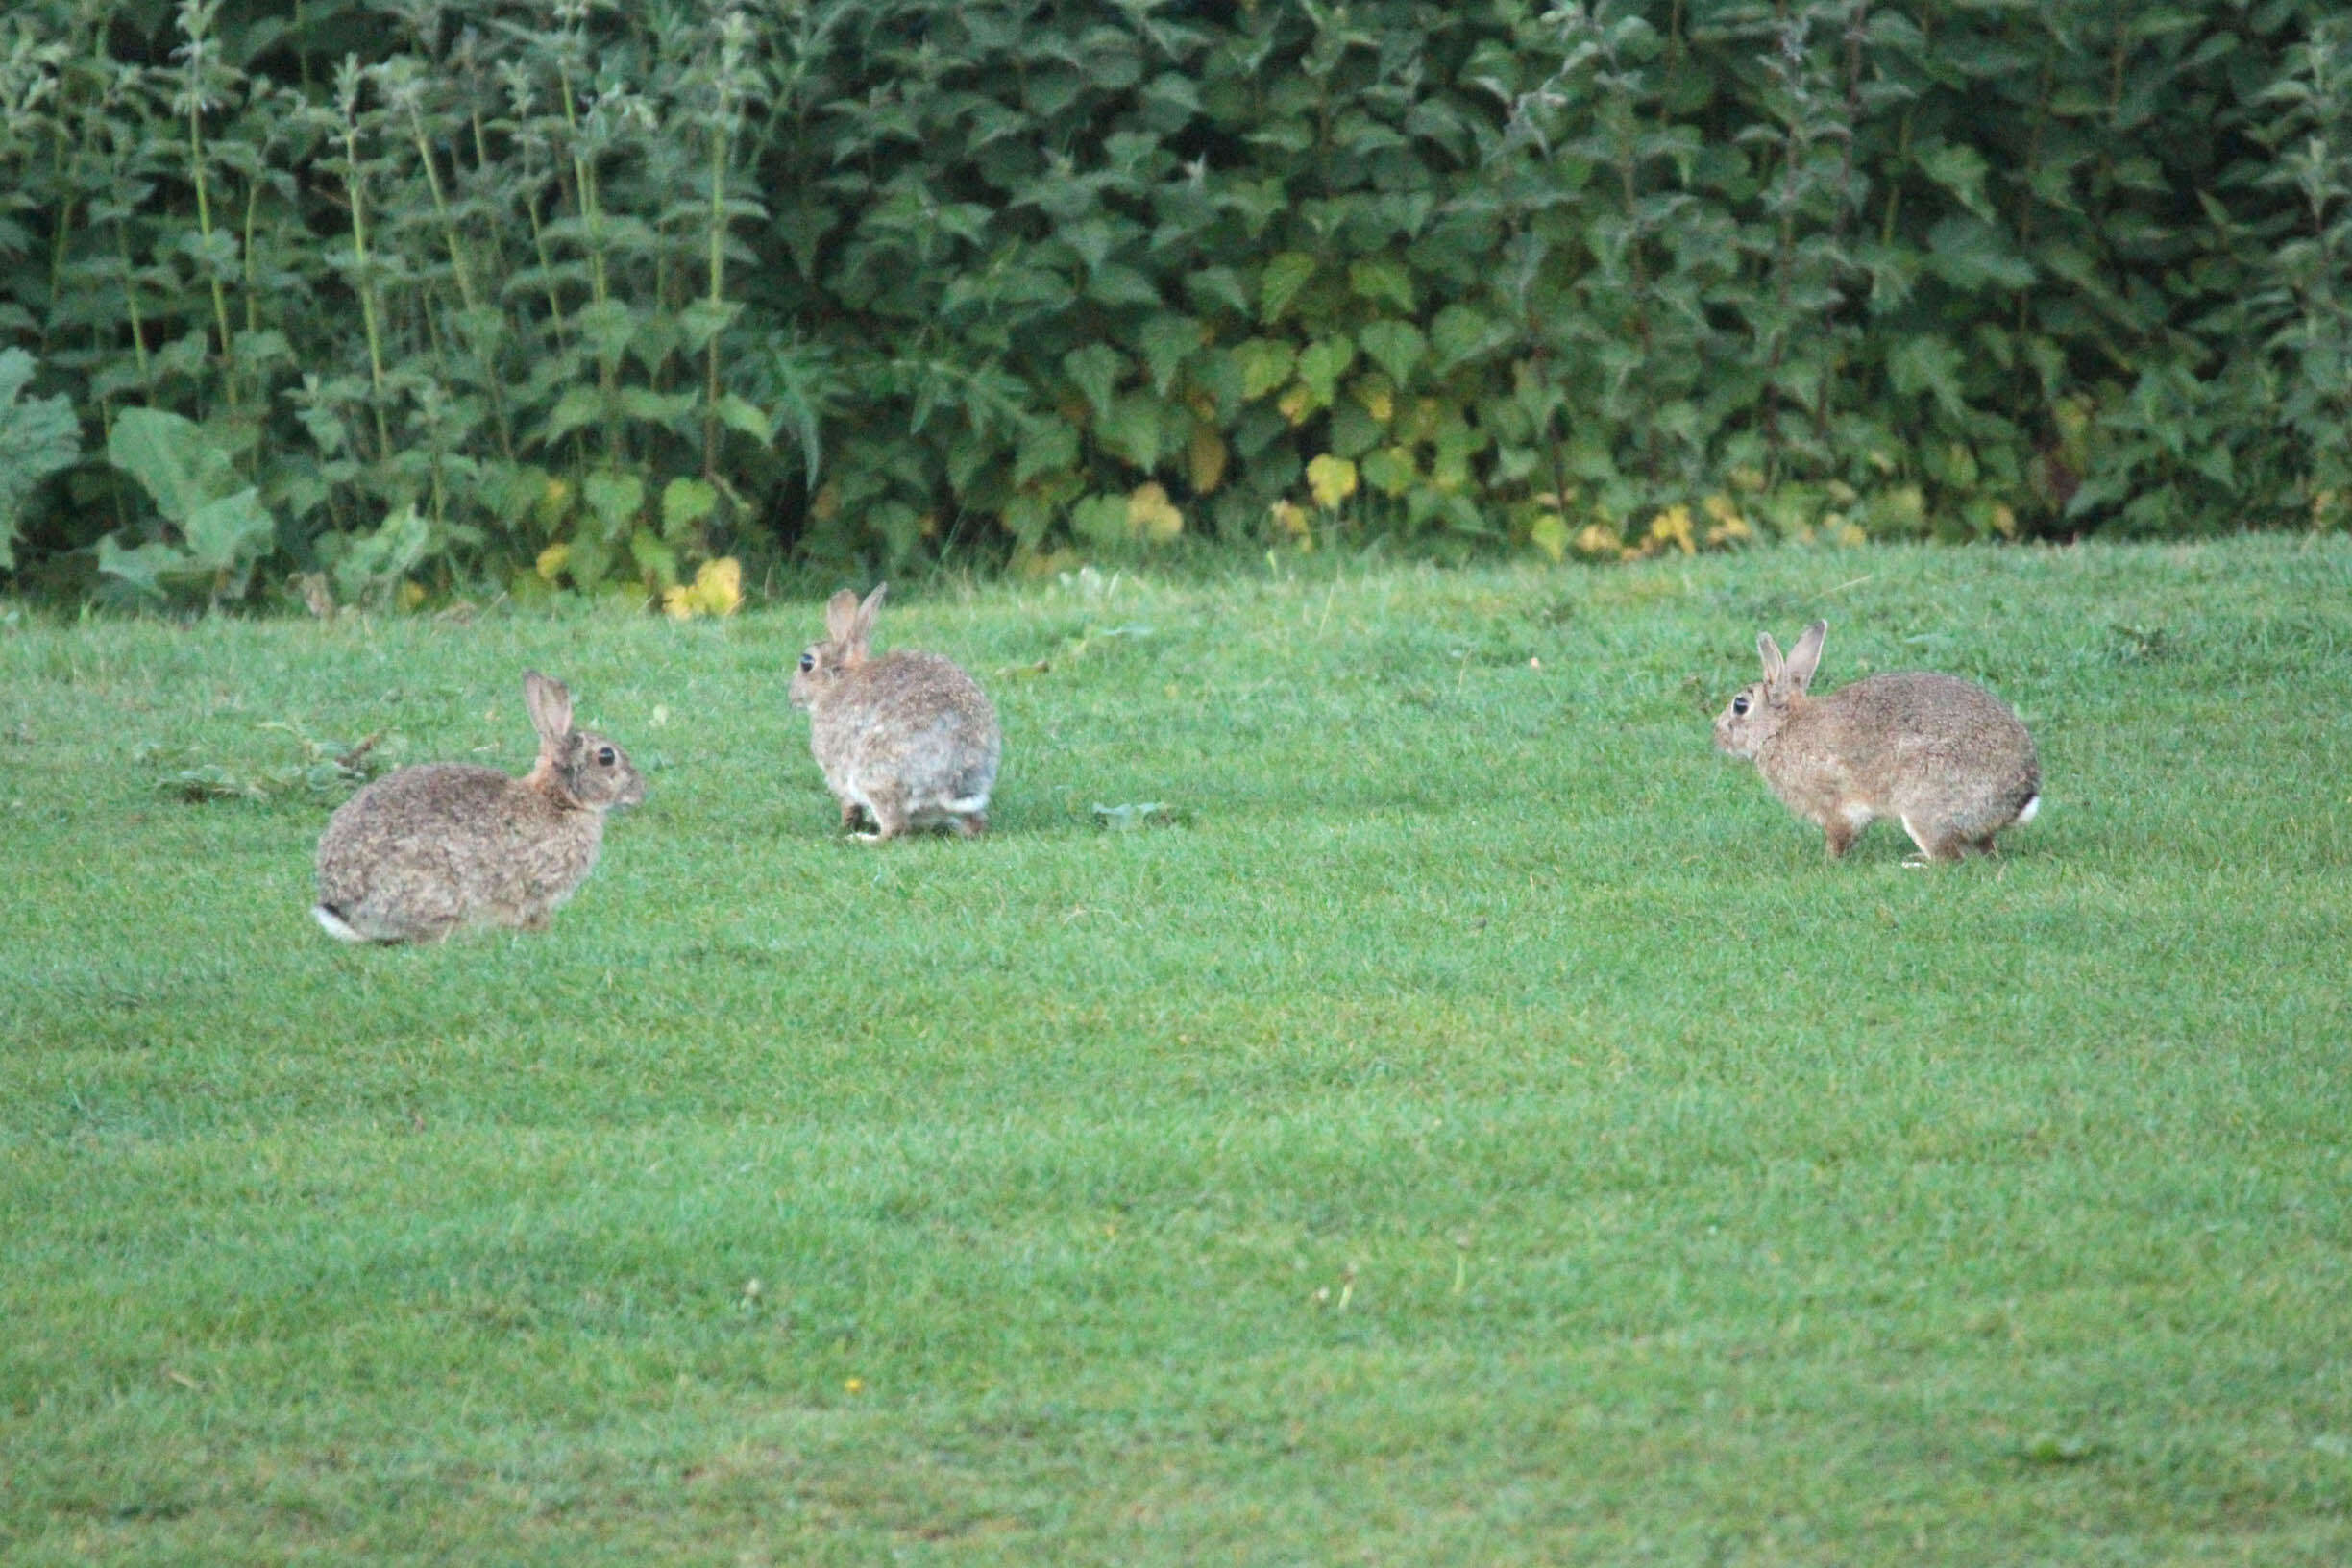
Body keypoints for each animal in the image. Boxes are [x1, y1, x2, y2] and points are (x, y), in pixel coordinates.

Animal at [790, 582, 1001, 841]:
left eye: (806, 662)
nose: (791, 696)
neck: (839, 681)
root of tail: (953, 782)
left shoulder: (837, 771)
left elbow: (848, 805)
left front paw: (847, 826)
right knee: (975, 824)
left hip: (874, 777)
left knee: (895, 828)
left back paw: (862, 839)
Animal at [1712, 620, 2041, 865]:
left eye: (1740, 705)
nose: (1717, 734)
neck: (1780, 729)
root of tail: (2020, 797)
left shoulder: (1835, 804)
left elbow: (1840, 835)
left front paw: (1827, 861)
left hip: (1925, 804)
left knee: (1949, 857)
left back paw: (1914, 863)